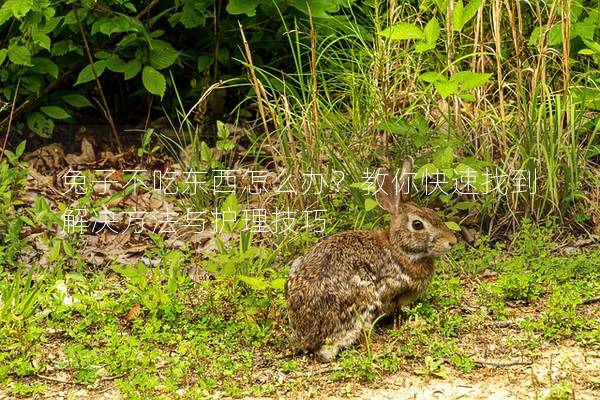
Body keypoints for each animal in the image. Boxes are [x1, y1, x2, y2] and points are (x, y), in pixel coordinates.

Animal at [284, 157, 454, 362]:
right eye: (417, 225)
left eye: (432, 212)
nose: (452, 241)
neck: (399, 249)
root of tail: (309, 337)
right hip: (363, 301)